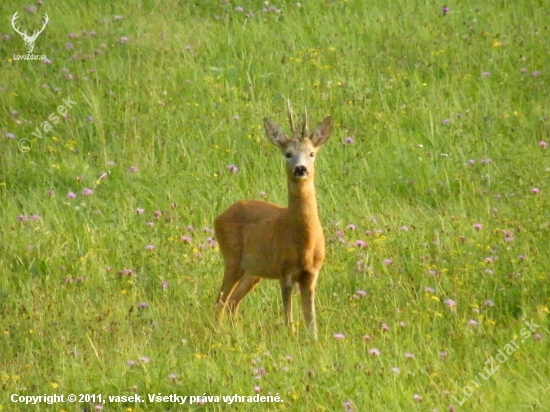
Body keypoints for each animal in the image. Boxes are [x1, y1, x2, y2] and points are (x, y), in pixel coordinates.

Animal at [215, 107, 332, 338]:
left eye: (312, 153)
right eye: (288, 154)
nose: (301, 169)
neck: (303, 243)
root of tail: (220, 216)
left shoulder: (311, 274)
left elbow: (310, 321)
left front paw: (313, 340)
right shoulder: (284, 270)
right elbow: (289, 319)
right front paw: (291, 338)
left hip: (253, 270)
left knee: (232, 301)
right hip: (232, 258)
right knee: (220, 300)